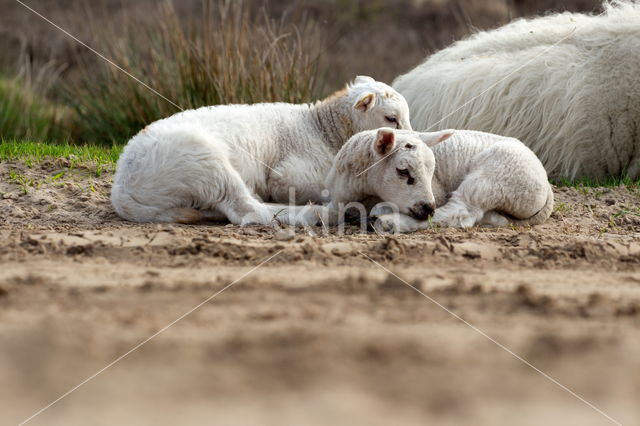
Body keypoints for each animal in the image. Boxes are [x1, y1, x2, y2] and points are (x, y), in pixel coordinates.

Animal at [110, 75, 410, 226]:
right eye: (391, 118)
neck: (320, 129)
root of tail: (122, 189)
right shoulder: (290, 175)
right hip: (205, 161)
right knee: (248, 211)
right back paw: (319, 215)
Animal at [322, 126, 552, 233]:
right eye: (403, 171)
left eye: (432, 172)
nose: (428, 208)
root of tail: (548, 190)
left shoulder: (437, 193)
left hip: (494, 176)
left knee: (459, 212)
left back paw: (388, 222)